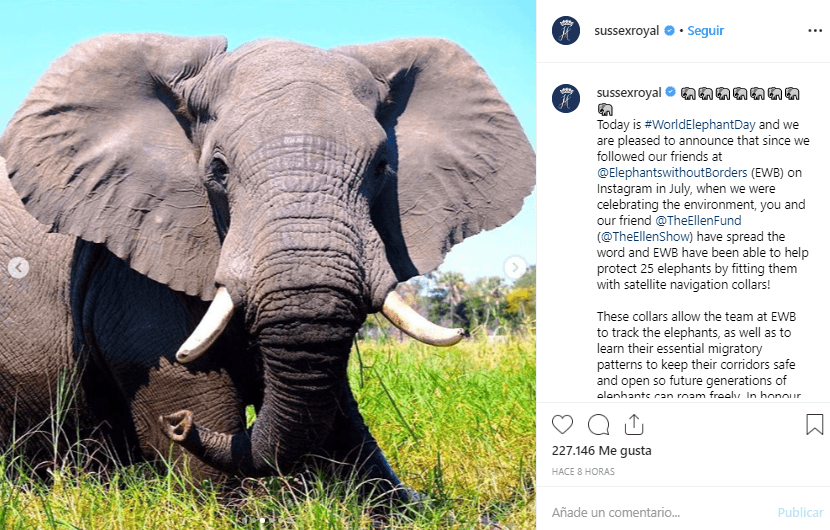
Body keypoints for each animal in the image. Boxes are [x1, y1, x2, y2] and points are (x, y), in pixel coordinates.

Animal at [0, 34, 535, 497]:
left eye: (383, 167)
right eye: (217, 170)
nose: (179, 427)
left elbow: (334, 409)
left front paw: (399, 505)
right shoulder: (129, 264)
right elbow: (184, 378)